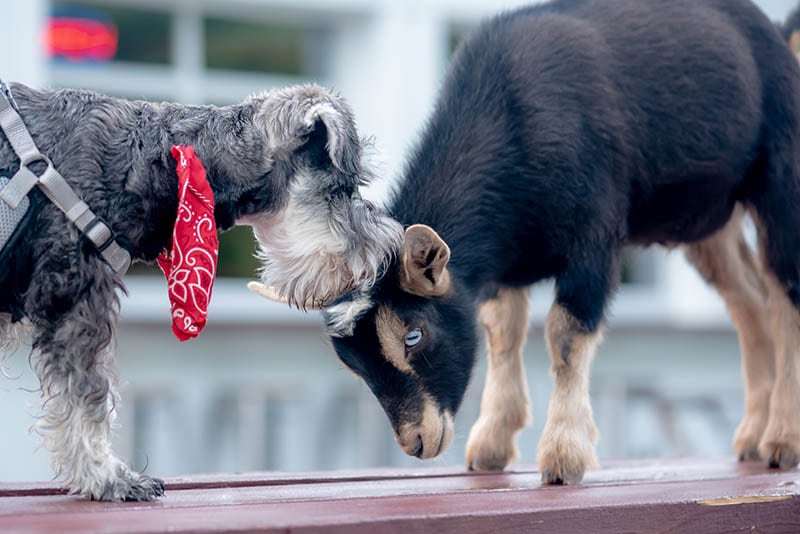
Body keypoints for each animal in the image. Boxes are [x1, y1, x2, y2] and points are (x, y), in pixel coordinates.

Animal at [0, 84, 400, 502]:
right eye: (342, 188)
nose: (389, 255)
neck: (162, 158)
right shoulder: (74, 296)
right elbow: (85, 394)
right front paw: (106, 476)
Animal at [253, 0, 800, 486]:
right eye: (351, 362)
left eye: (413, 335)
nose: (418, 444)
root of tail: (775, 34)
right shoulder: (506, 266)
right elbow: (502, 333)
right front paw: (492, 444)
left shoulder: (593, 238)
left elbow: (566, 334)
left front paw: (563, 455)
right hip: (707, 219)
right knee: (750, 301)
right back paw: (753, 436)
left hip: (779, 175)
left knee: (784, 292)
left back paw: (781, 440)